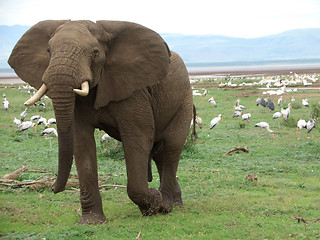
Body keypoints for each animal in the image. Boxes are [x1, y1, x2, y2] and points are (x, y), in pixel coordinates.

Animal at [8, 19, 194, 224]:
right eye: (48, 51)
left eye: (95, 52)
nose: (54, 189)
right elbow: (81, 143)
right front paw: (92, 222)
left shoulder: (134, 91)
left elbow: (138, 138)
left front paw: (154, 204)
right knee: (160, 154)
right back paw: (175, 204)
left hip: (184, 100)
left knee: (171, 148)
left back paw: (167, 205)